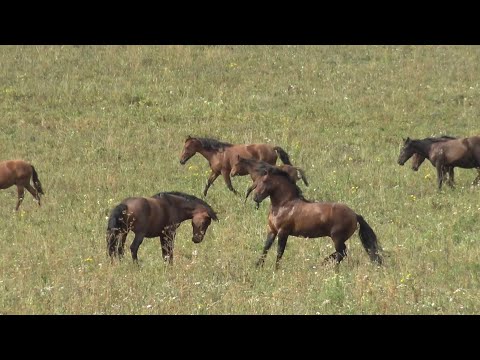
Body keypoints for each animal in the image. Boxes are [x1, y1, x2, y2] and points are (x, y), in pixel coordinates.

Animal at [248, 165, 382, 268]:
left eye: (264, 181)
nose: (255, 197)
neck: (285, 205)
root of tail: (354, 214)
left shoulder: (283, 232)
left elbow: (279, 252)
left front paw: (276, 269)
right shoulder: (272, 230)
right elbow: (265, 248)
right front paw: (258, 266)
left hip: (337, 238)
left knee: (342, 253)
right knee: (341, 253)